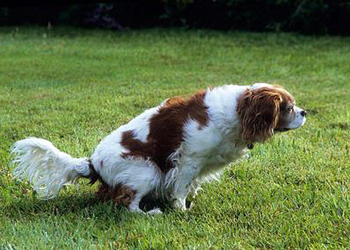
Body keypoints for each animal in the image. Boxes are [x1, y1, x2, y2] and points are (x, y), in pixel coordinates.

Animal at [10, 83, 306, 214]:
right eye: (288, 108)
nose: (305, 112)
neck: (236, 112)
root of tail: (92, 161)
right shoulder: (187, 160)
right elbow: (181, 188)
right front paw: (181, 210)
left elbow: (192, 186)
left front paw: (190, 200)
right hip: (147, 170)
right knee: (126, 203)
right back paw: (149, 214)